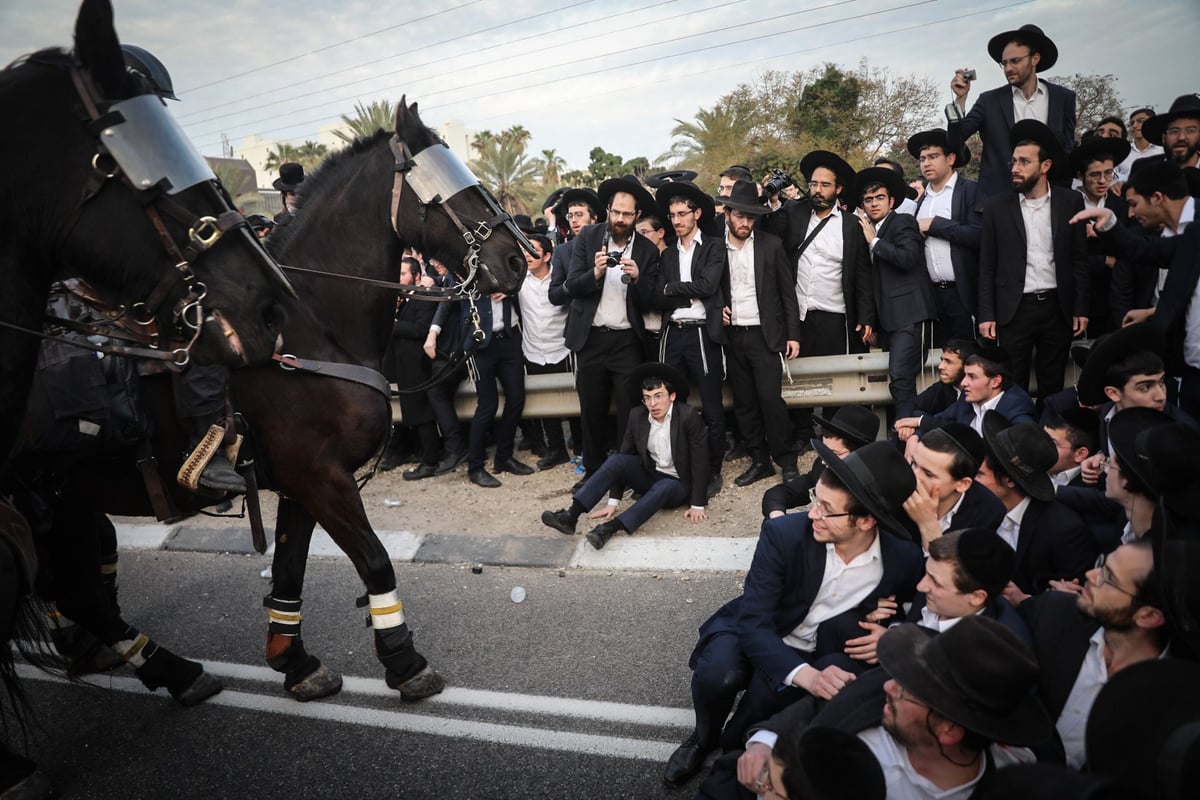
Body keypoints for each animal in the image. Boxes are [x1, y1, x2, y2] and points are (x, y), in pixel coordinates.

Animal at [30, 98, 528, 705]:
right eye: (448, 183)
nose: (519, 260)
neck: (309, 325)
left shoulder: (302, 482)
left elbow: (290, 572)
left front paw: (295, 662)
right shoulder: (318, 475)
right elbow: (375, 560)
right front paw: (404, 660)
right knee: (79, 593)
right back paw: (170, 668)